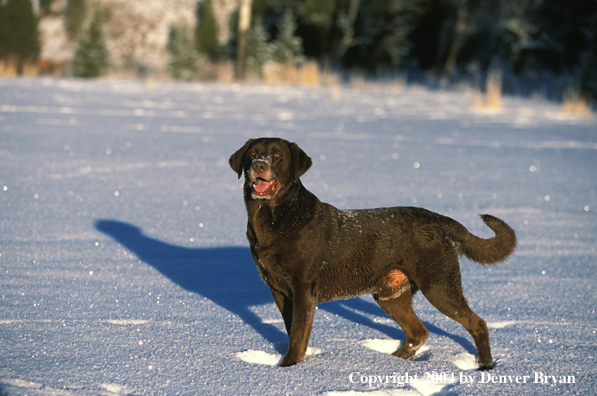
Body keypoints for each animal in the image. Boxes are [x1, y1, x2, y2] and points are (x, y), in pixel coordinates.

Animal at [228, 138, 512, 370]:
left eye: (277, 155)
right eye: (252, 153)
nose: (259, 165)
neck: (274, 217)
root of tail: (438, 219)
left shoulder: (303, 288)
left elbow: (298, 335)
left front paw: (288, 369)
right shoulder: (278, 288)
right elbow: (292, 330)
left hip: (439, 285)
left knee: (477, 323)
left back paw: (485, 366)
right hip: (391, 295)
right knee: (418, 332)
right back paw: (391, 363)